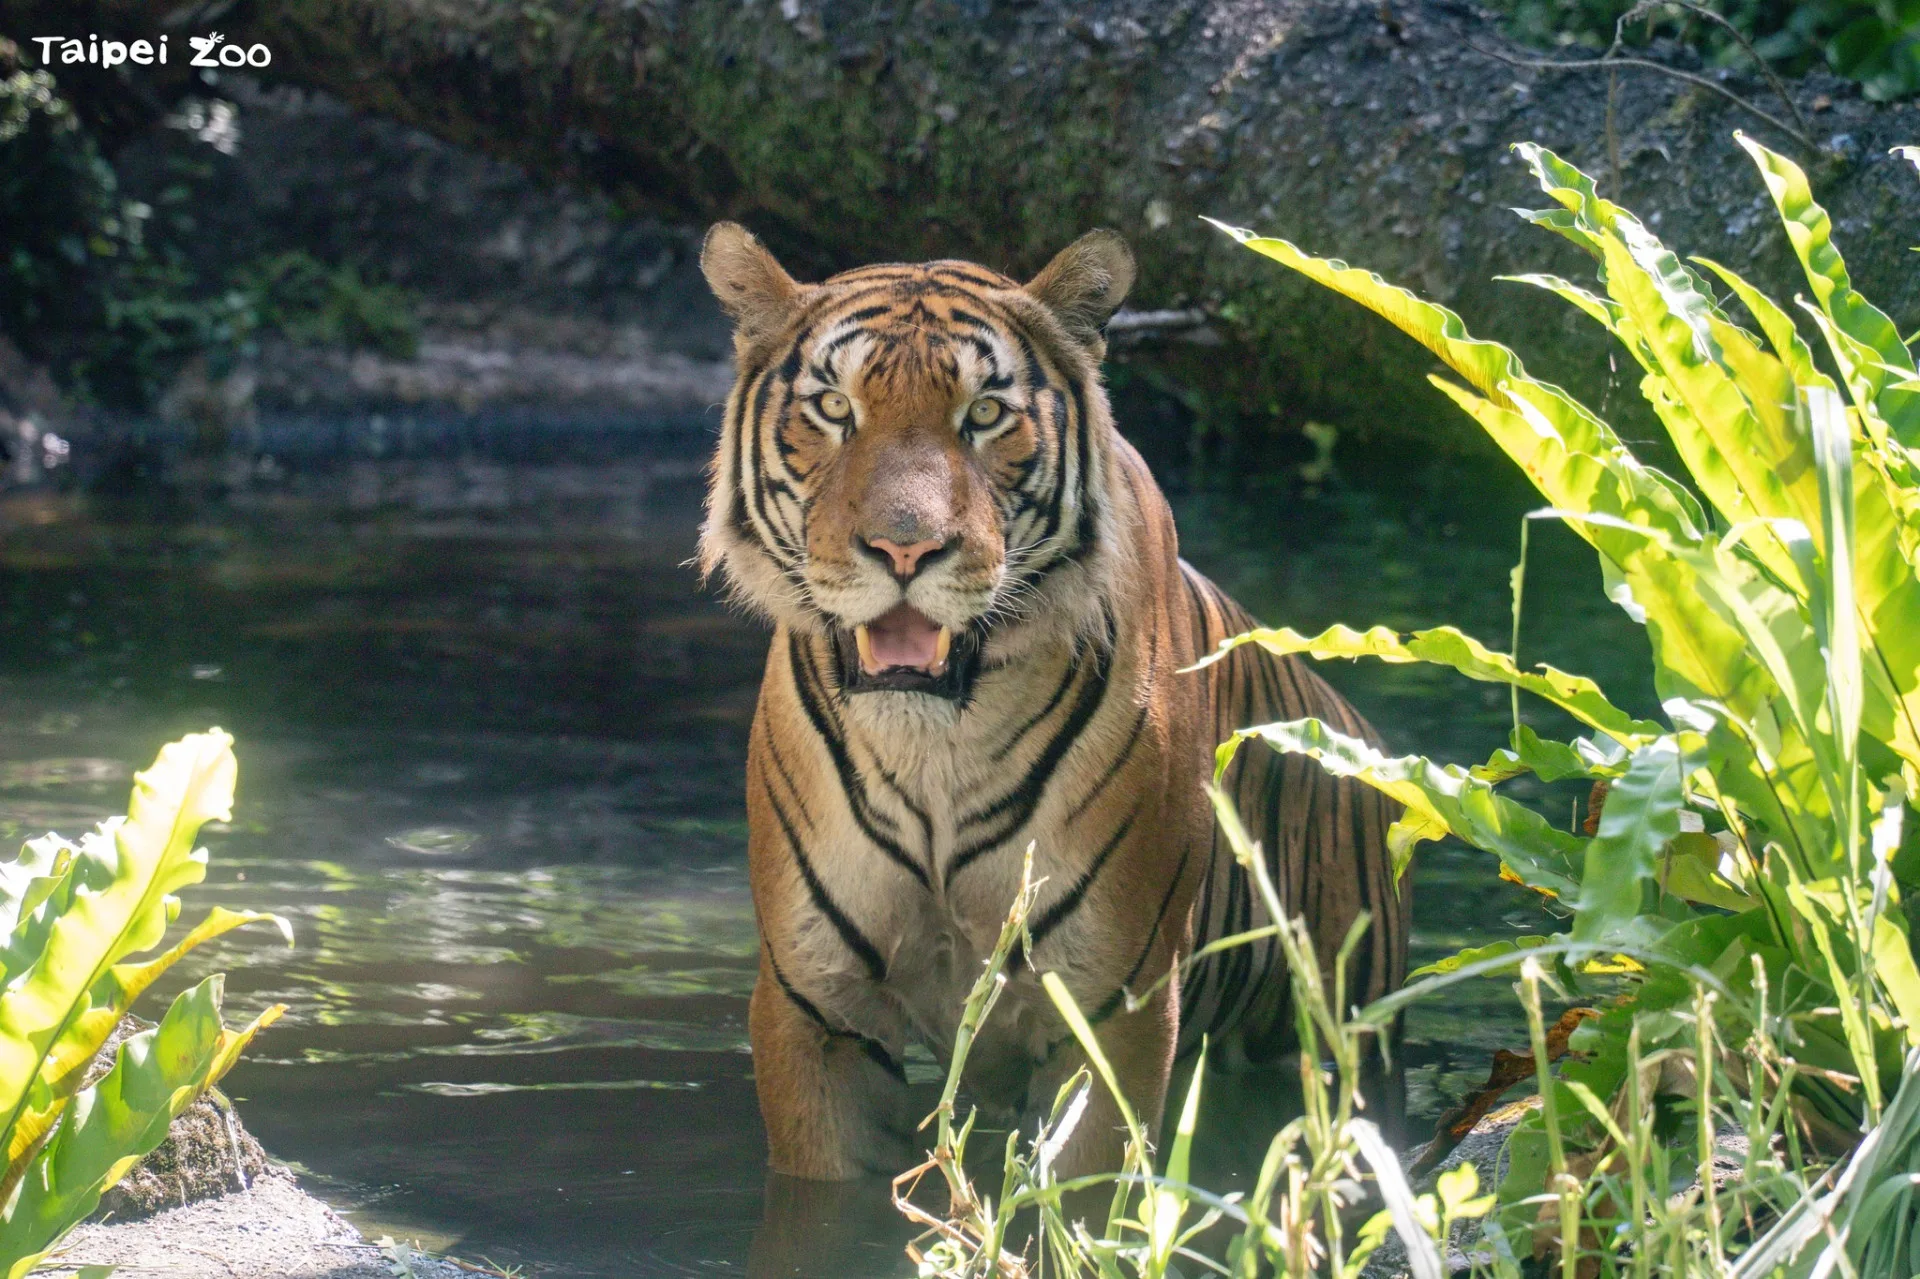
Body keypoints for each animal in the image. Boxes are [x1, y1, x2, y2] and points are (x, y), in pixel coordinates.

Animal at [697, 223, 1409, 1180]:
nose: (903, 548)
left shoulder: (1112, 1007)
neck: (934, 744)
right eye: (835, 408)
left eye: (985, 414)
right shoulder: (816, 1005)